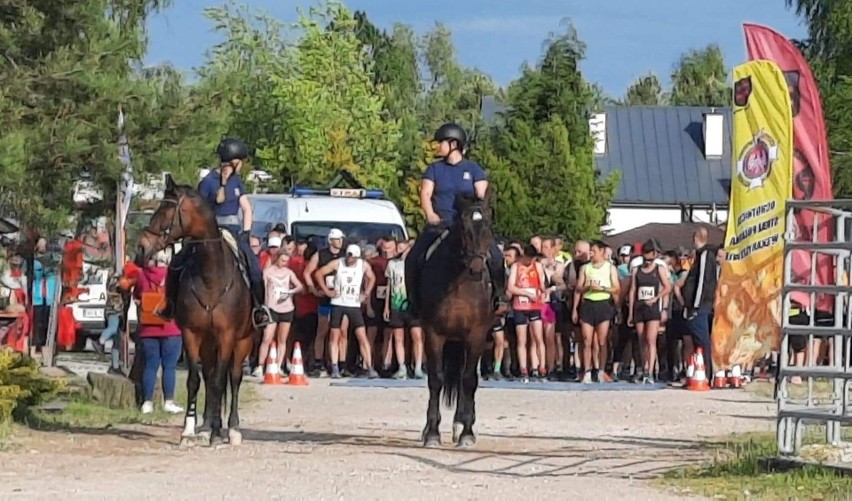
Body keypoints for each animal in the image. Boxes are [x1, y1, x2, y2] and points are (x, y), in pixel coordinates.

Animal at [135, 175, 255, 446]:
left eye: (167, 210)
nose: (141, 248)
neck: (211, 275)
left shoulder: (227, 335)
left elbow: (222, 381)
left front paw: (218, 434)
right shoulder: (191, 334)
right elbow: (195, 380)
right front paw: (189, 430)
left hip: (243, 340)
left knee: (233, 379)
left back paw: (231, 429)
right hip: (209, 343)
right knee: (209, 377)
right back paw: (209, 425)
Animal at [416, 190, 496, 446]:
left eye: (488, 225)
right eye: (463, 227)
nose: (477, 269)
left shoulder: (477, 335)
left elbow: (469, 380)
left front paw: (467, 432)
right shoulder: (433, 333)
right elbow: (436, 379)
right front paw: (432, 432)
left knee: (464, 378)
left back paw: (461, 423)